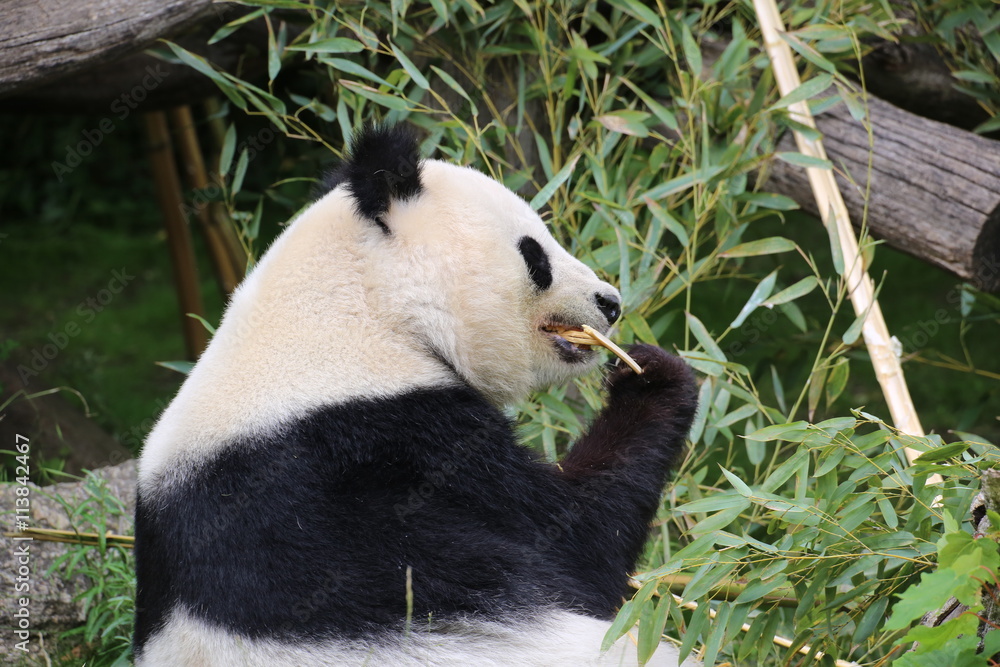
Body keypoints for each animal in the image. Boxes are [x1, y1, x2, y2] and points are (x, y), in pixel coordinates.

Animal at [135, 125, 696, 667]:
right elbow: (574, 541)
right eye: (534, 254)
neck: (360, 307)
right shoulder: (394, 438)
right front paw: (654, 376)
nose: (611, 303)